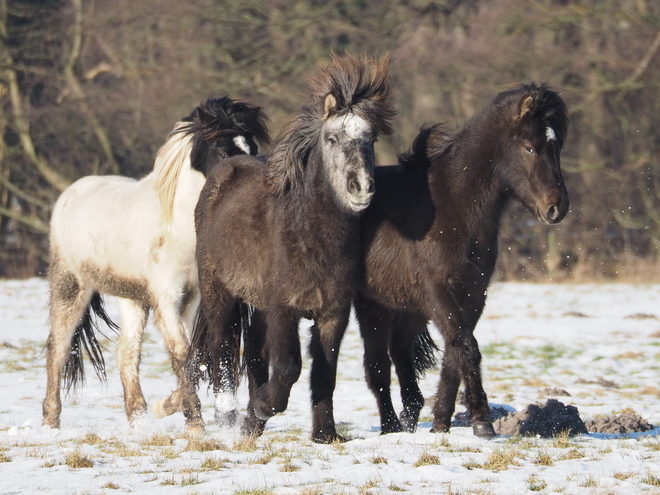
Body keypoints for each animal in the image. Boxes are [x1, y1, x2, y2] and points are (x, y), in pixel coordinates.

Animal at [43, 97, 268, 430]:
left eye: (252, 149)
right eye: (223, 152)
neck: (177, 227)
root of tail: (69, 195)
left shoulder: (191, 299)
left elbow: (193, 356)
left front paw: (166, 407)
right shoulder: (166, 297)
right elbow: (181, 351)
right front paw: (195, 423)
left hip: (132, 298)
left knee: (126, 352)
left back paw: (138, 420)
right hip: (70, 286)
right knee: (58, 348)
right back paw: (51, 421)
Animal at [183, 55, 394, 446]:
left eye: (370, 138)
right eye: (332, 138)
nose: (361, 187)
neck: (309, 235)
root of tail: (225, 169)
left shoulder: (333, 314)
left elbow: (324, 373)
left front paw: (325, 433)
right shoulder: (285, 309)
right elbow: (289, 367)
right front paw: (265, 407)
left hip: (258, 307)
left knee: (253, 356)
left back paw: (249, 424)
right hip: (219, 293)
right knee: (221, 350)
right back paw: (229, 414)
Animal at [354, 83, 568, 440]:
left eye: (557, 147)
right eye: (529, 147)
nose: (557, 208)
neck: (452, 208)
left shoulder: (473, 293)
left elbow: (456, 351)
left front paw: (441, 421)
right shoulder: (438, 291)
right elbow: (466, 345)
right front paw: (482, 421)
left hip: (409, 307)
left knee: (400, 351)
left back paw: (411, 417)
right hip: (372, 305)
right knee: (378, 366)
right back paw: (391, 426)